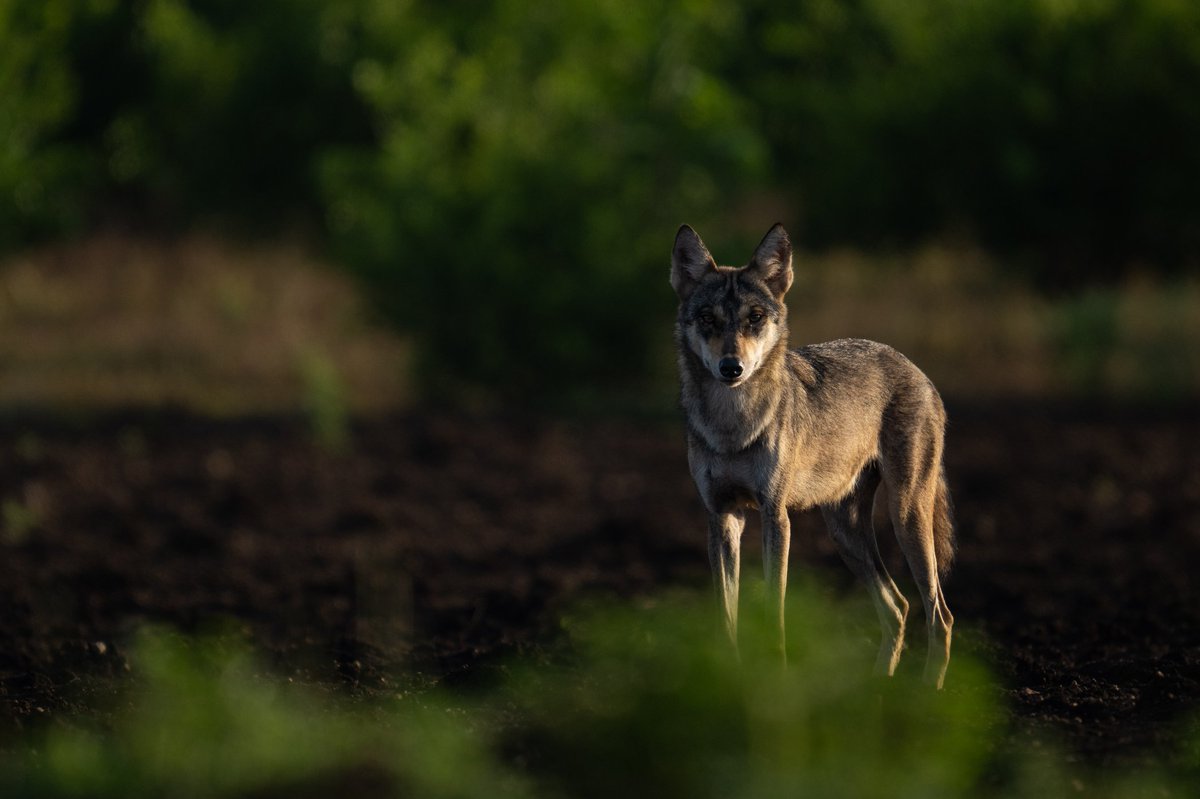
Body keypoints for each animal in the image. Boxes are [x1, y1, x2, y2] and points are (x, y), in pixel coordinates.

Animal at [671, 223, 955, 688]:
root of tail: (912, 366)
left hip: (906, 517)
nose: (732, 368)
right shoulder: (722, 516)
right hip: (845, 535)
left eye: (755, 318)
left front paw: (777, 673)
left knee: (939, 614)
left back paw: (930, 692)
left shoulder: (775, 516)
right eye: (709, 319)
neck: (733, 425)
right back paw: (877, 689)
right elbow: (726, 614)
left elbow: (775, 609)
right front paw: (730, 677)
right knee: (899, 607)